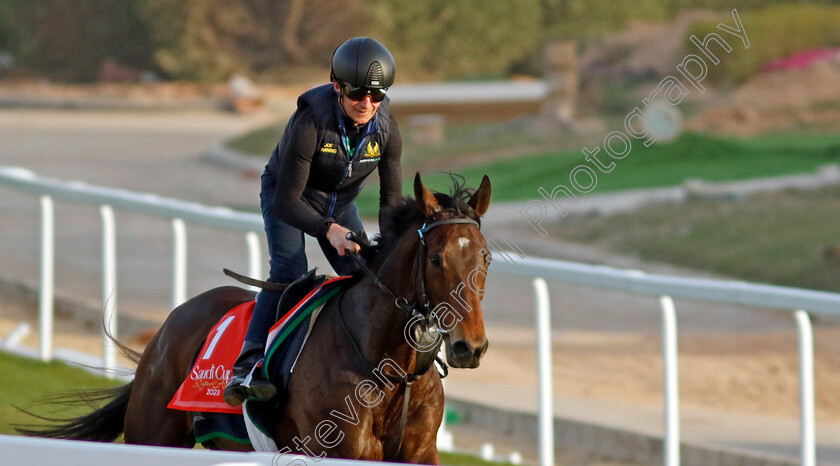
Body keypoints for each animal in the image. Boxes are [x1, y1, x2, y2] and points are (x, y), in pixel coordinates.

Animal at [18, 174, 492, 462]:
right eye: (436, 259)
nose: (470, 347)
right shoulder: (339, 449)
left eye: (486, 257)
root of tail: (169, 325)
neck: (391, 368)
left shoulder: (420, 452)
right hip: (153, 435)